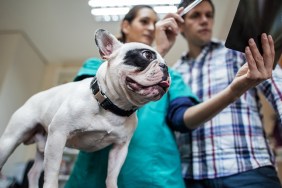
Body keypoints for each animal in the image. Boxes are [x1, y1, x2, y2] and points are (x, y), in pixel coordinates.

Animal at [0, 29, 170, 188]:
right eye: (147, 55)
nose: (166, 67)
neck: (113, 105)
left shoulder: (120, 149)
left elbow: (111, 176)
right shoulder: (58, 134)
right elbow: (53, 172)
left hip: (44, 145)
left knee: (33, 172)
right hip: (11, 139)